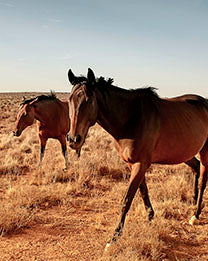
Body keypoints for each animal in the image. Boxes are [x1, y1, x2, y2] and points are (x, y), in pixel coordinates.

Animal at [67, 68, 207, 249]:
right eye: (69, 100)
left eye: (88, 100)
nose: (73, 139)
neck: (131, 119)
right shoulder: (132, 164)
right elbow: (143, 191)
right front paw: (150, 217)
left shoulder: (141, 164)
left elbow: (126, 200)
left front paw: (114, 238)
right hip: (184, 152)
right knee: (196, 168)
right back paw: (193, 203)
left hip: (204, 151)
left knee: (203, 179)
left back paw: (196, 214)